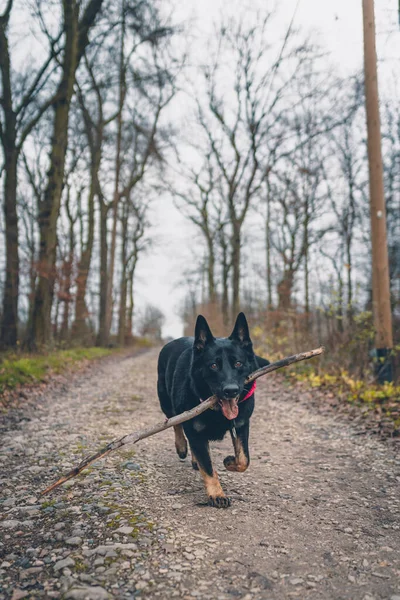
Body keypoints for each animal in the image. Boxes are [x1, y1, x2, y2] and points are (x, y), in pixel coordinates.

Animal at [156, 314, 268, 506]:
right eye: (213, 366)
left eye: (238, 363)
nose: (231, 390)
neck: (217, 411)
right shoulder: (194, 430)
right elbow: (207, 467)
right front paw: (217, 494)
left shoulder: (241, 425)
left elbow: (244, 459)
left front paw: (230, 462)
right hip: (167, 403)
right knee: (174, 422)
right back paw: (181, 446)